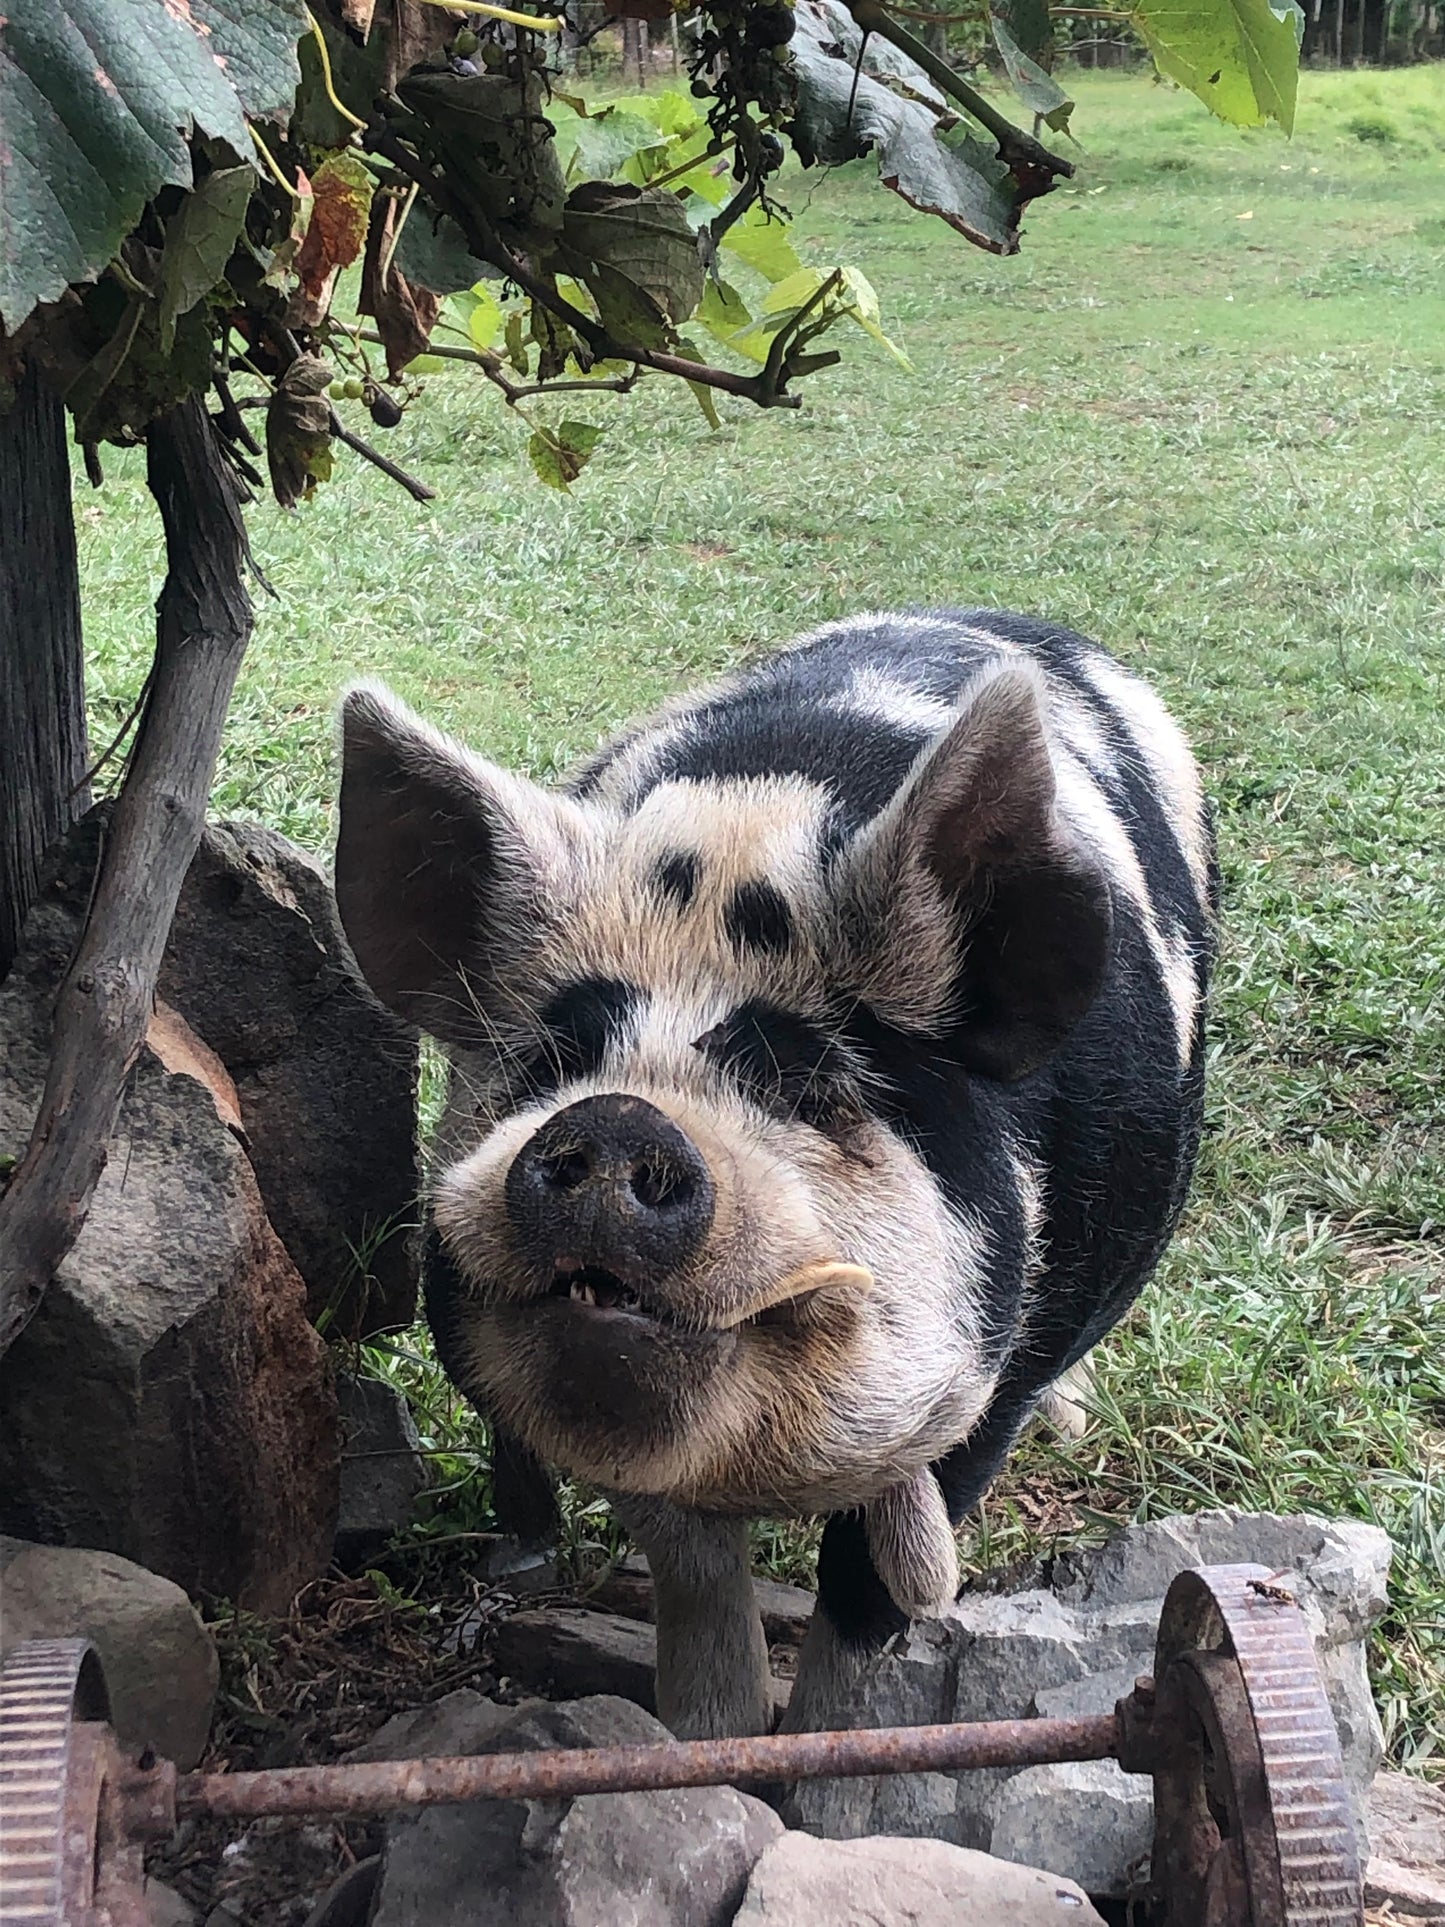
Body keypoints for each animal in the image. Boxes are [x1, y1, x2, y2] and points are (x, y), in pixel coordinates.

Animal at [333, 608, 1217, 1742]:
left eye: (807, 1082)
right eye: (551, 1063)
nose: (618, 1118)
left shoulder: (997, 1377)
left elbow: (865, 1593)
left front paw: (822, 1755)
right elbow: (695, 1576)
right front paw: (704, 1743)